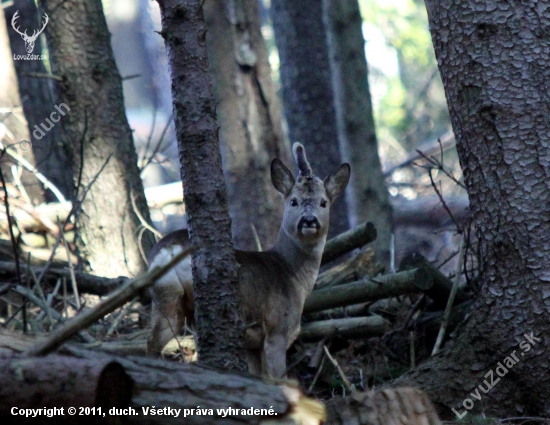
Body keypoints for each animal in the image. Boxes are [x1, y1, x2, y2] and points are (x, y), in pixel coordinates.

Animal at [149, 143, 352, 378]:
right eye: (293, 201)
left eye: (323, 202)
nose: (309, 220)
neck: (292, 275)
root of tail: (165, 251)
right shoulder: (277, 327)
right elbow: (278, 378)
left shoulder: (252, 344)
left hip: (165, 297)